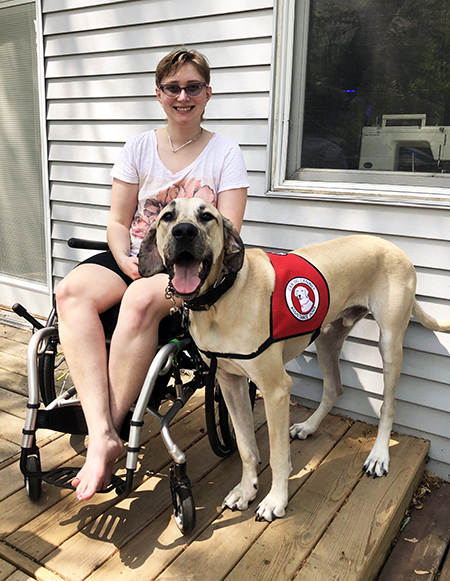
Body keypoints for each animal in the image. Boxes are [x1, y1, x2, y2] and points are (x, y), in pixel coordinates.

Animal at [139, 197, 450, 524]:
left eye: (207, 216)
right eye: (167, 216)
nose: (183, 232)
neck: (219, 299)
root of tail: (394, 246)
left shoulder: (276, 390)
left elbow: (277, 456)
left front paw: (275, 501)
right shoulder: (230, 383)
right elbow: (246, 446)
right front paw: (246, 490)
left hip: (389, 344)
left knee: (388, 405)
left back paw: (378, 456)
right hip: (327, 338)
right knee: (334, 388)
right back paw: (309, 426)